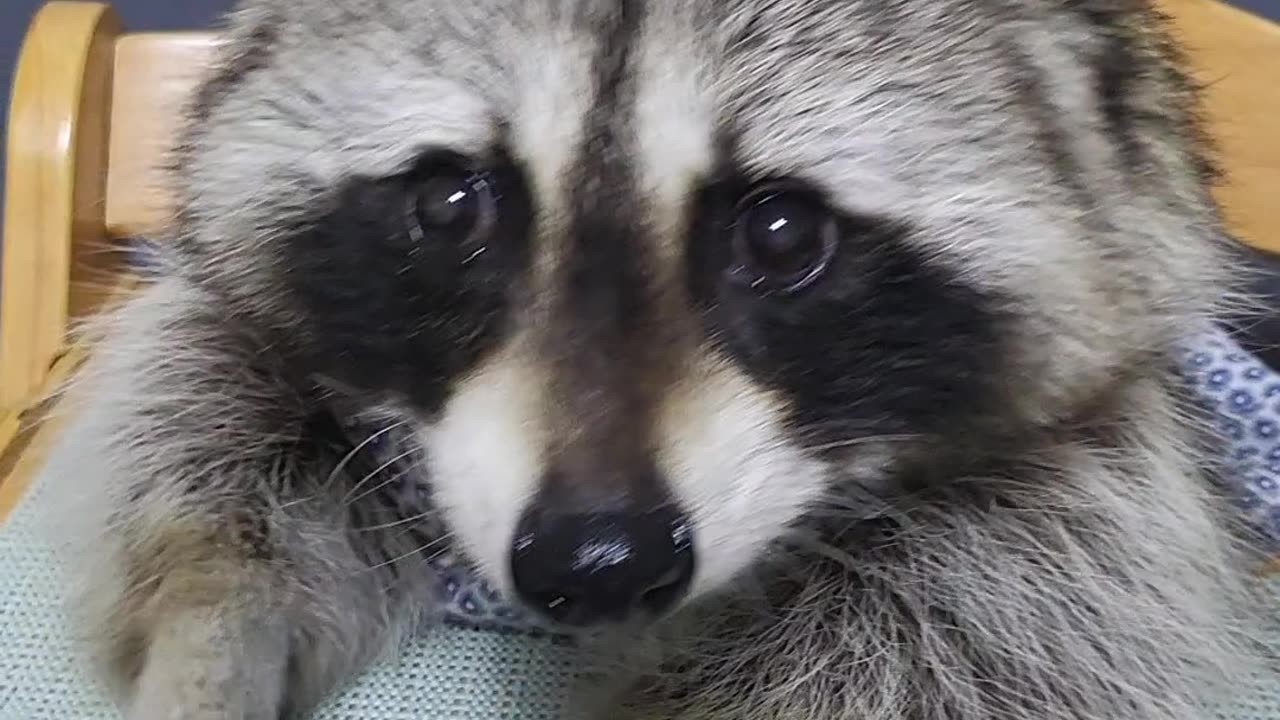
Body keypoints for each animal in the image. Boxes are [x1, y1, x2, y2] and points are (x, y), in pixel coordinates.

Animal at [40, 0, 1269, 712]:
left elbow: (1011, 603)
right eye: (449, 204)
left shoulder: (1102, 463)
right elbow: (212, 352)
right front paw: (209, 601)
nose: (597, 560)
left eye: (783, 233)